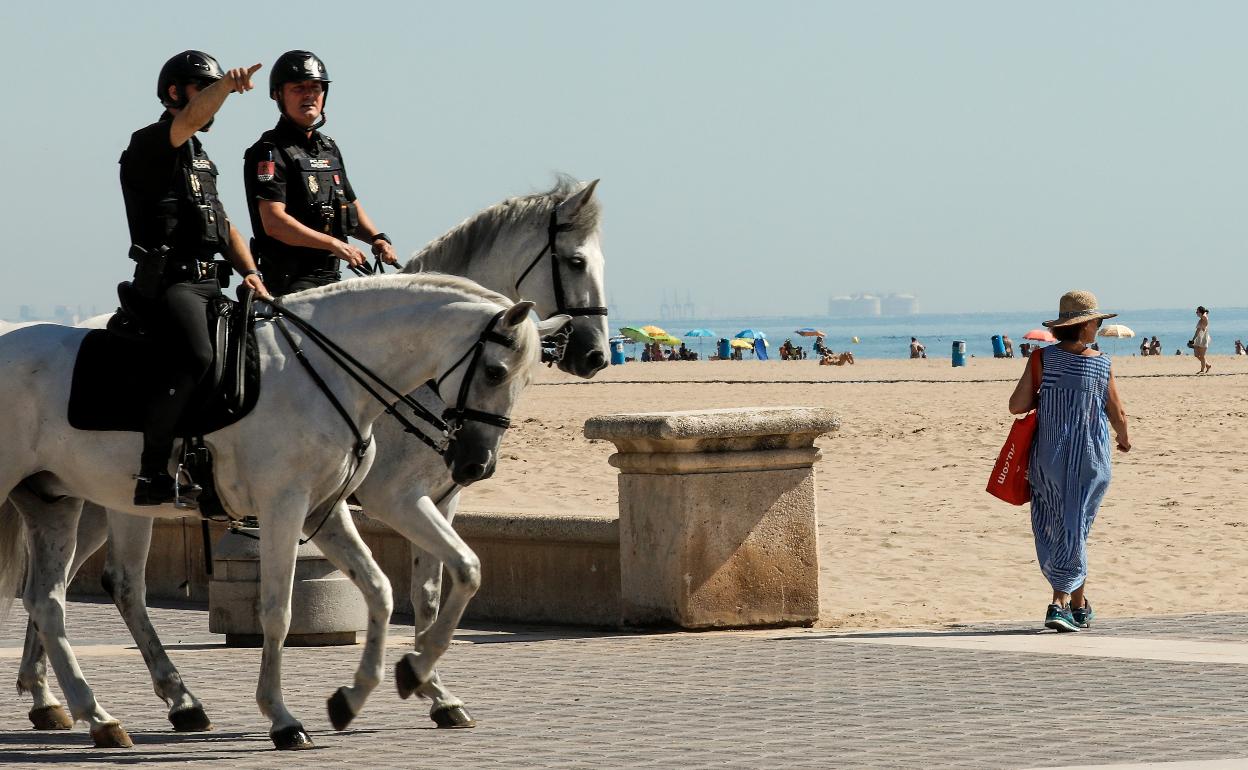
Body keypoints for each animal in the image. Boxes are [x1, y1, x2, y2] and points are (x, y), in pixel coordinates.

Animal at [9, 178, 604, 733]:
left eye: (524, 380)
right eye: (575, 261)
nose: (595, 352)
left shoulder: (427, 500)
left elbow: (440, 584)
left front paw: (424, 684)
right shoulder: (392, 499)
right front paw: (412, 683)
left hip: (97, 500)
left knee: (77, 587)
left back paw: (89, 699)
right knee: (72, 587)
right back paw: (83, 700)